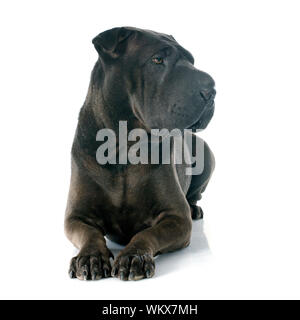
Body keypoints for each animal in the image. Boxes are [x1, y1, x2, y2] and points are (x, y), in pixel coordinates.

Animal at [65, 28, 216, 282]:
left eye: (191, 60)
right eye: (157, 59)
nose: (211, 89)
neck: (122, 149)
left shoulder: (176, 217)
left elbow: (147, 234)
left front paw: (134, 256)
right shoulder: (76, 216)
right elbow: (89, 234)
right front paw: (91, 256)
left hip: (207, 155)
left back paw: (195, 208)